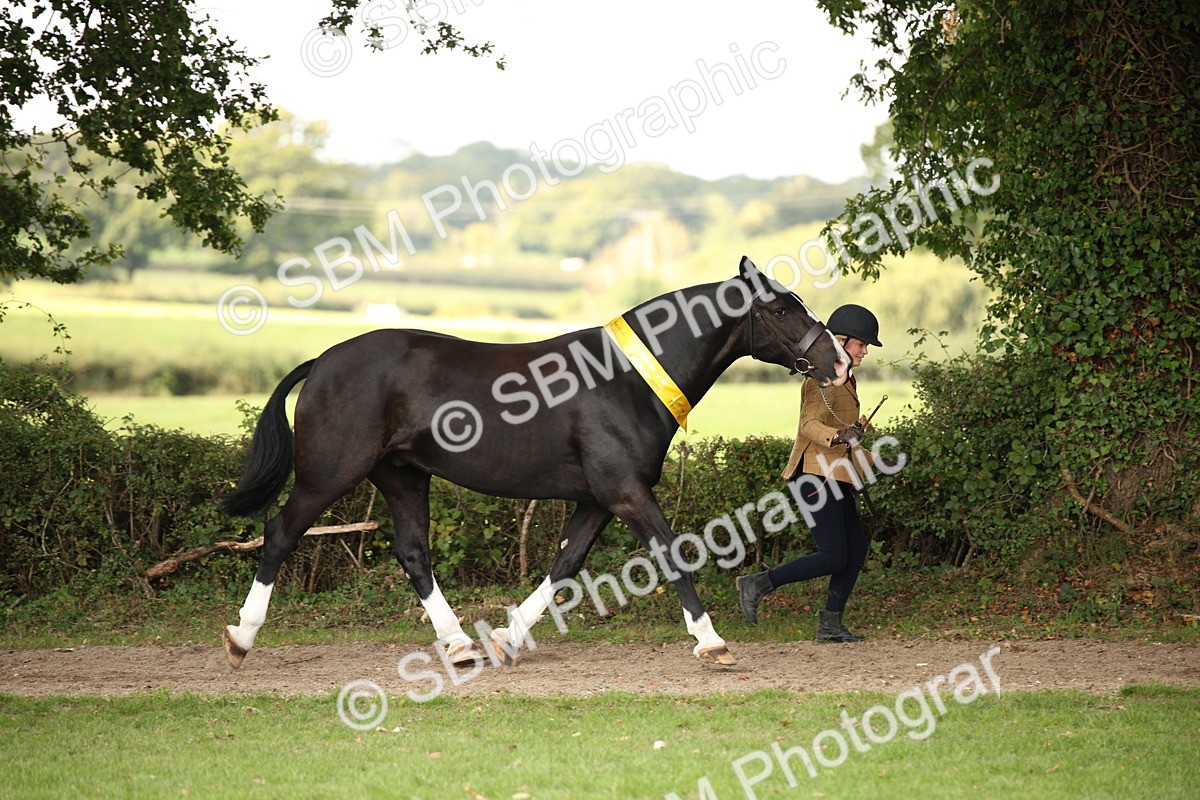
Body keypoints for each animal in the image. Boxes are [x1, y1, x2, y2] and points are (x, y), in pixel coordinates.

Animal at [218, 256, 849, 669]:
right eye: (782, 309)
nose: (840, 361)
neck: (627, 380)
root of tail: (323, 361)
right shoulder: (625, 492)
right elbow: (672, 553)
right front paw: (712, 641)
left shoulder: (597, 499)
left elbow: (565, 565)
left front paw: (507, 636)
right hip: (329, 473)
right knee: (280, 532)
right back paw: (242, 638)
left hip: (402, 477)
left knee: (414, 554)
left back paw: (460, 645)